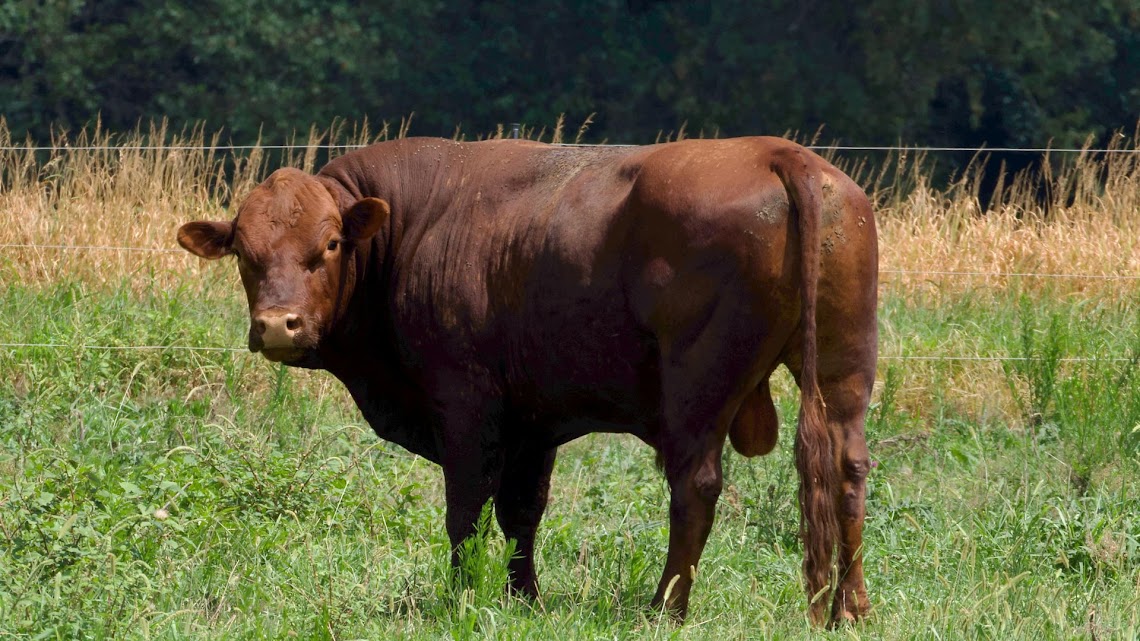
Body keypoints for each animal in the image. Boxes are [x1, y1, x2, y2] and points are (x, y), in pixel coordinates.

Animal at [177, 135, 875, 625]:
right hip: (843, 371)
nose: (277, 325)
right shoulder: (534, 423)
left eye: (327, 246)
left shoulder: (466, 406)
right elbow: (522, 513)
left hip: (696, 385)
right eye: (245, 252)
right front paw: (523, 598)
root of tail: (778, 153)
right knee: (847, 473)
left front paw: (461, 597)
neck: (413, 228)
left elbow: (467, 512)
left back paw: (665, 608)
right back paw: (850, 609)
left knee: (695, 488)